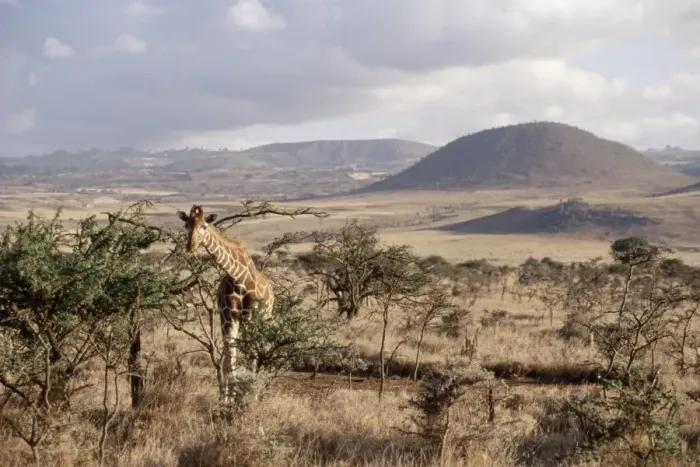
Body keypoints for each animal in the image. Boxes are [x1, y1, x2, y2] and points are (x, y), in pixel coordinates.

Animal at [177, 204, 274, 415]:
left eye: (204, 226)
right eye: (186, 225)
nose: (190, 246)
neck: (239, 277)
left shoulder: (251, 318)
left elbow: (249, 356)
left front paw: (247, 399)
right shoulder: (227, 318)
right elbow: (230, 361)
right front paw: (227, 403)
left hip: (266, 317)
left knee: (257, 353)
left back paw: (255, 394)